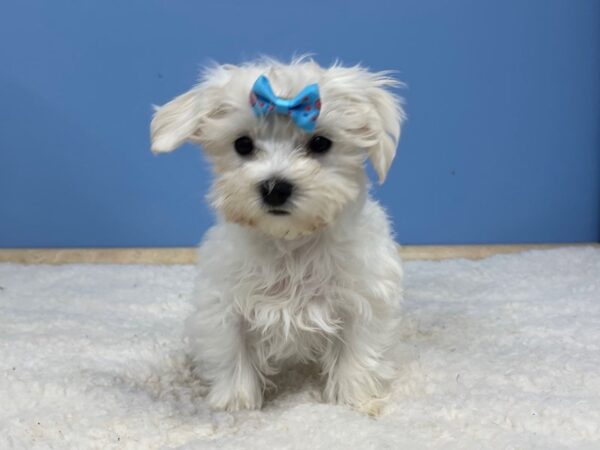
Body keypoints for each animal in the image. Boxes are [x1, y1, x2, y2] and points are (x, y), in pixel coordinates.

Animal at [150, 57, 406, 414]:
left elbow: (357, 354)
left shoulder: (364, 299)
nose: (275, 187)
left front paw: (354, 401)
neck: (290, 243)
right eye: (242, 144)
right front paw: (234, 404)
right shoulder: (224, 303)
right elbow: (232, 353)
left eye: (320, 143)